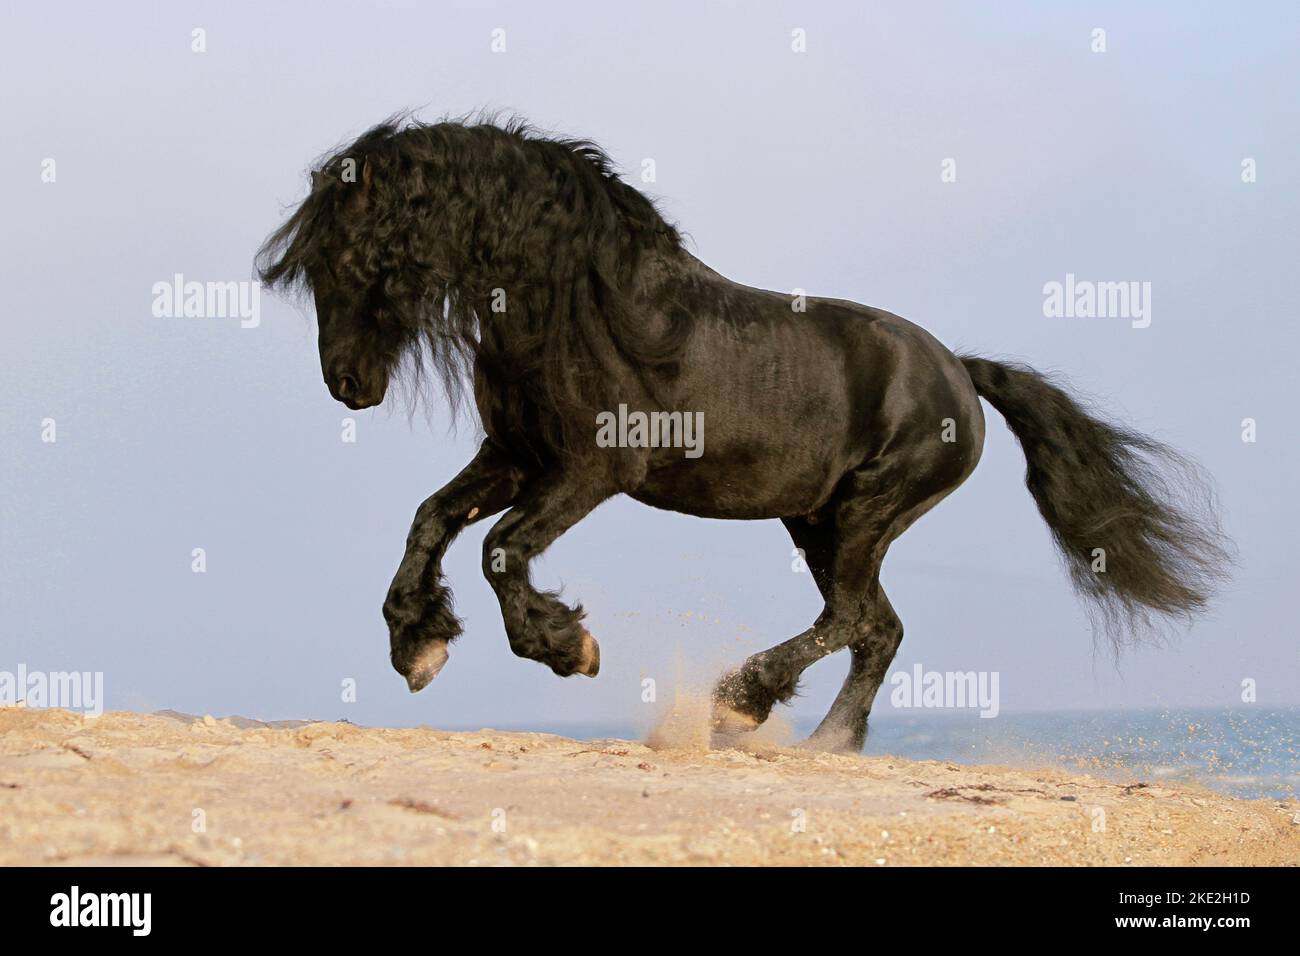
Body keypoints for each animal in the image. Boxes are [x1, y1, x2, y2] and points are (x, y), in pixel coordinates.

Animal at [256, 113, 1227, 754]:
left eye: (353, 259)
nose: (348, 387)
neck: (575, 302)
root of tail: (959, 370)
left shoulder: (593, 469)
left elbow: (500, 549)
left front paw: (568, 647)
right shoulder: (515, 456)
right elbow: (431, 520)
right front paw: (417, 646)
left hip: (866, 512)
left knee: (856, 617)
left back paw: (743, 705)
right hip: (817, 520)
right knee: (875, 626)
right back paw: (823, 742)